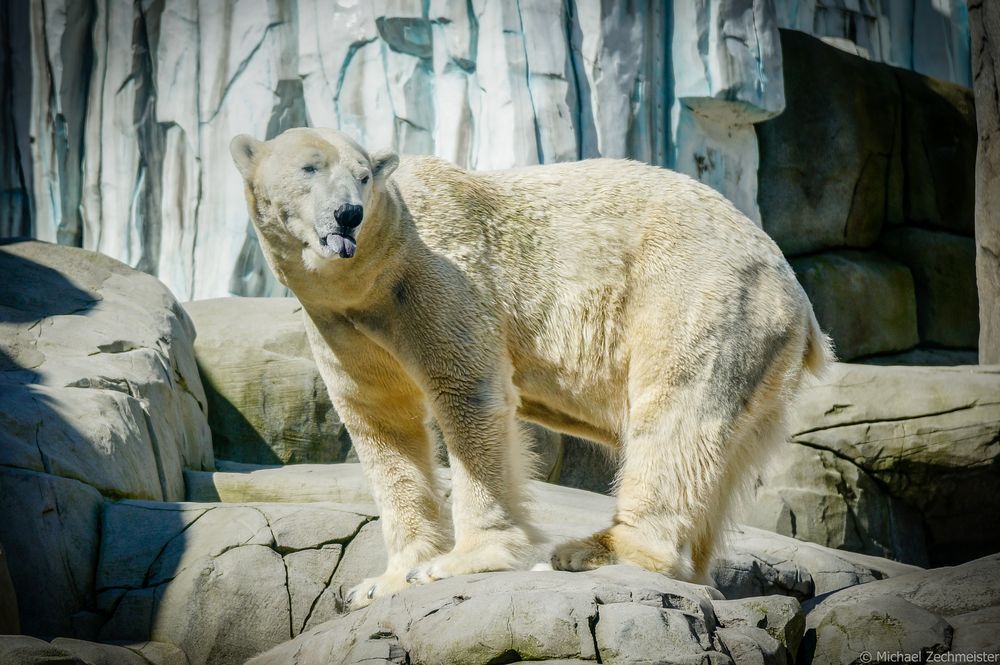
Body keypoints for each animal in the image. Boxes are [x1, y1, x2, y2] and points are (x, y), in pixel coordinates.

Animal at [230, 126, 832, 608]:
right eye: (309, 168)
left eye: (361, 177)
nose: (347, 214)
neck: (374, 272)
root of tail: (796, 296)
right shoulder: (340, 321)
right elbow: (380, 422)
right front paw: (385, 580)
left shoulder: (434, 277)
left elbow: (467, 392)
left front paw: (460, 562)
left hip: (697, 291)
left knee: (675, 417)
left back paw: (596, 551)